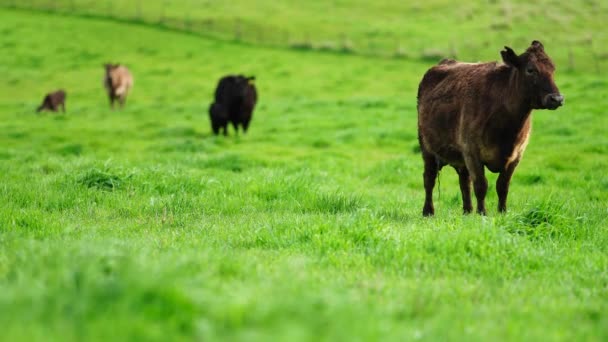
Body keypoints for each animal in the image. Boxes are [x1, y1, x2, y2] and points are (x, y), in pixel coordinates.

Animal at [418, 40, 564, 216]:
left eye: (553, 69)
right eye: (530, 70)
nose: (557, 99)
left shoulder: (516, 156)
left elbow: (502, 186)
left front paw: (502, 212)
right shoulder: (472, 152)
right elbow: (481, 185)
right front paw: (482, 213)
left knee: (464, 182)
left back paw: (467, 211)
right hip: (427, 148)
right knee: (429, 179)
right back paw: (428, 211)